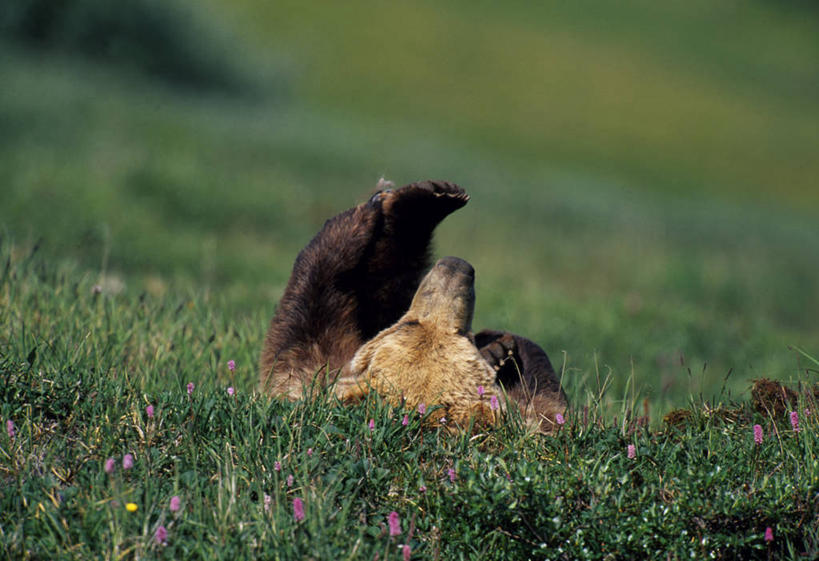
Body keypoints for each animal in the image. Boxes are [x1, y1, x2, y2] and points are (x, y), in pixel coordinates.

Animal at [260, 178, 568, 428]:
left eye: (464, 336)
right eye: (409, 322)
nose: (455, 265)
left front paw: (500, 350)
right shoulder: (310, 377)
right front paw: (500, 350)